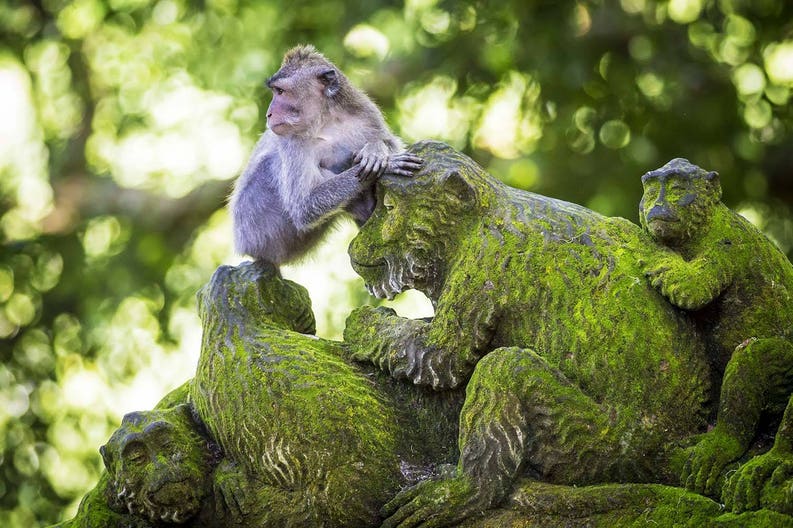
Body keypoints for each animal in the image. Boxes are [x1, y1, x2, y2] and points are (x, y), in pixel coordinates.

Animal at [229, 45, 423, 265]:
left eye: (280, 91)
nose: (269, 114)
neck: (326, 120)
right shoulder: (291, 141)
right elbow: (303, 206)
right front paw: (389, 163)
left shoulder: (365, 112)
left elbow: (390, 141)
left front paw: (376, 149)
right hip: (259, 228)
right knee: (276, 164)